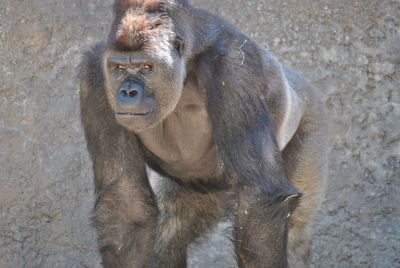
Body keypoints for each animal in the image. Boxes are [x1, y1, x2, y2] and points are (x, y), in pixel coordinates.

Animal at [78, 1, 328, 266]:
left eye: (146, 67)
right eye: (119, 67)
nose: (127, 92)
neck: (187, 59)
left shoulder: (232, 65)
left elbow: (259, 196)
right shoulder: (94, 73)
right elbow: (126, 204)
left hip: (312, 112)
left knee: (297, 231)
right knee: (169, 231)